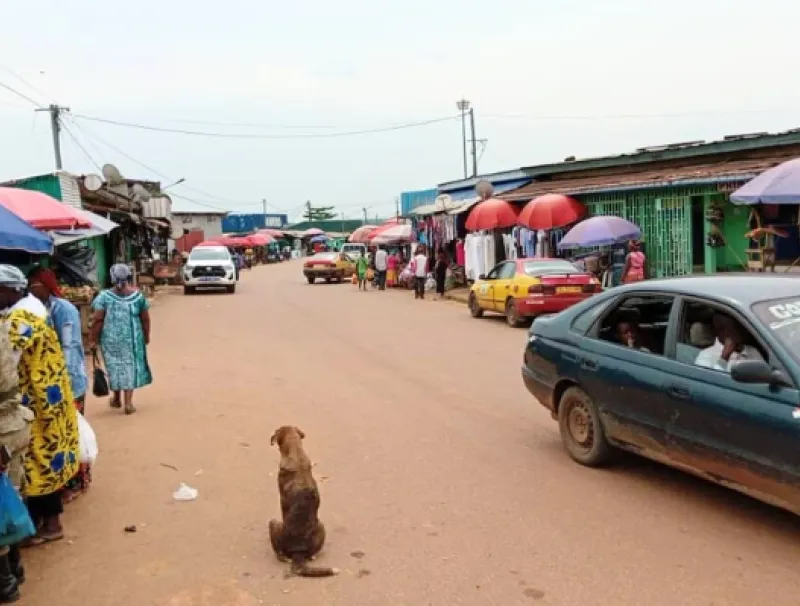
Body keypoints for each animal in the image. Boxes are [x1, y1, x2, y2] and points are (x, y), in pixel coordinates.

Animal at [266, 428, 334, 580]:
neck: (296, 454)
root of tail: (298, 551)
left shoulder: (282, 502)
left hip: (273, 523)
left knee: (279, 553)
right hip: (321, 526)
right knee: (312, 554)